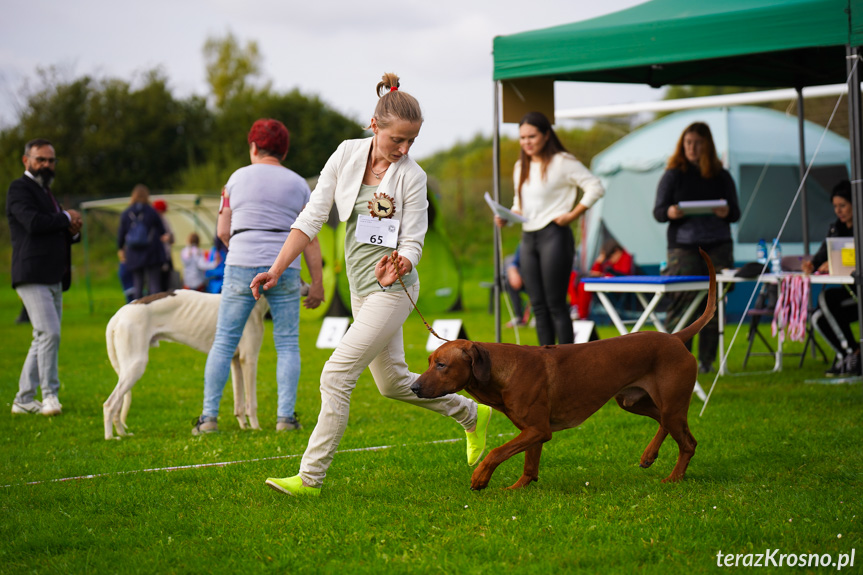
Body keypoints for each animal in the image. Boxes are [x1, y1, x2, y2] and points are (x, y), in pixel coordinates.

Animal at [103, 290, 268, 444]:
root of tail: (119, 314)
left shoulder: (235, 361)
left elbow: (239, 403)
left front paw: (245, 427)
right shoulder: (249, 359)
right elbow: (252, 403)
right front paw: (256, 428)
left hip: (127, 369)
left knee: (118, 404)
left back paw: (122, 434)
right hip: (136, 365)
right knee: (109, 404)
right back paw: (110, 437)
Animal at [412, 248, 716, 490]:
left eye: (442, 365)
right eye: (429, 362)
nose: (413, 387)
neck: (502, 371)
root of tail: (675, 337)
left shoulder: (538, 429)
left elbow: (497, 450)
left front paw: (480, 477)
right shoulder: (532, 431)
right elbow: (529, 466)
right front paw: (518, 488)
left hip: (671, 402)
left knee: (688, 443)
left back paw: (674, 478)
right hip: (634, 402)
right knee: (667, 425)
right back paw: (650, 454)